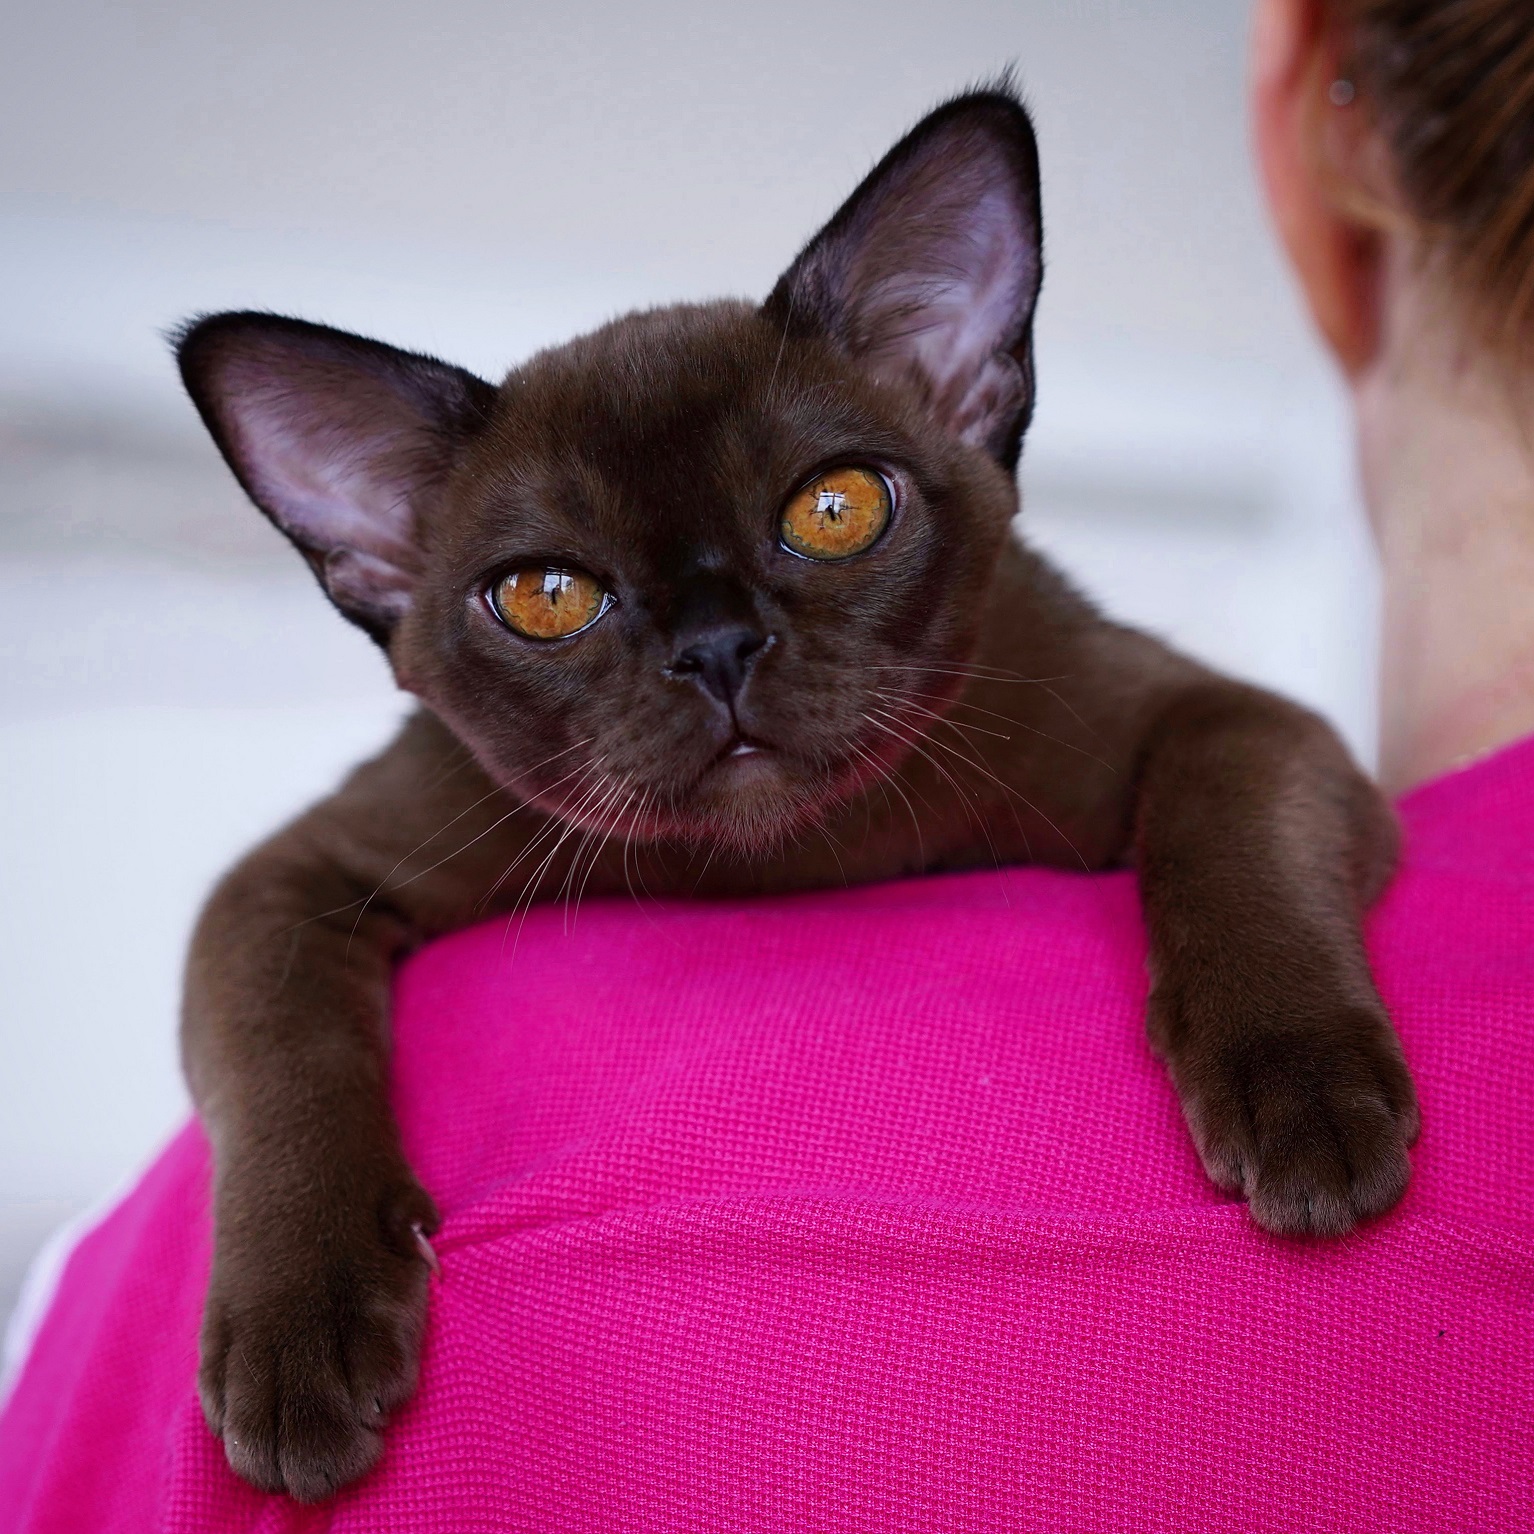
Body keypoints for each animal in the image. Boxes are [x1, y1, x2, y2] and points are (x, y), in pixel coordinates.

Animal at [176, 87, 1411, 1497]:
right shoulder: (294, 875)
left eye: (834, 510)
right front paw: (300, 1334)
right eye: (544, 595)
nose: (716, 645)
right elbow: (289, 1061)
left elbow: (1223, 834)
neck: (790, 859)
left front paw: (1301, 1095)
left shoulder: (1216, 713)